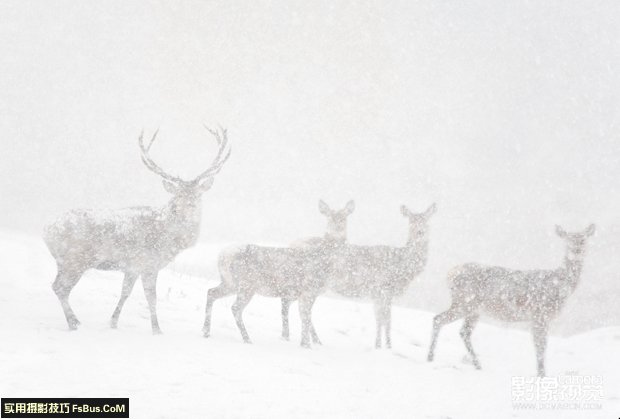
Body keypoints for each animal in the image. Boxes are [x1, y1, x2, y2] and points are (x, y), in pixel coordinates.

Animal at [43, 127, 231, 334]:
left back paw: (74, 320)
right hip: (76, 259)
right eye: (178, 195)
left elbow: (125, 292)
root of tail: (47, 230)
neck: (168, 239)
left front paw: (113, 322)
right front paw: (157, 329)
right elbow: (151, 298)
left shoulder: (132, 267)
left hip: (64, 262)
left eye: (198, 194)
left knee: (56, 286)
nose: (189, 205)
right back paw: (73, 322)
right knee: (60, 288)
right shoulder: (148, 263)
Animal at [280, 199, 354, 342]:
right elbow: (306, 313)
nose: (336, 228)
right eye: (329, 217)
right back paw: (288, 336)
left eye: (344, 218)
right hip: (298, 284)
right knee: (287, 303)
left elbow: (305, 313)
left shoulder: (316, 290)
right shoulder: (312, 287)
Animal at [332, 205, 438, 350]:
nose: (420, 232)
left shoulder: (380, 294)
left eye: (426, 220)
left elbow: (382, 319)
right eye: (411, 222)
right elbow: (385, 320)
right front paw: (385, 346)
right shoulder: (382, 289)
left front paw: (380, 345)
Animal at [426, 225, 596, 378]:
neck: (559, 286)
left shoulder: (540, 317)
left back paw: (477, 365)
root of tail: (450, 274)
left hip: (474, 309)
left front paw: (541, 373)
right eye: (568, 240)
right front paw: (542, 375)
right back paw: (430, 357)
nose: (577, 250)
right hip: (464, 303)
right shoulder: (539, 313)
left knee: (463, 331)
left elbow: (541, 345)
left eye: (584, 240)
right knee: (438, 319)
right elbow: (540, 346)